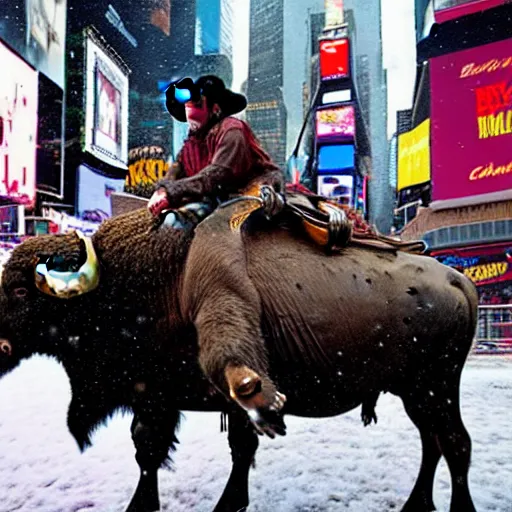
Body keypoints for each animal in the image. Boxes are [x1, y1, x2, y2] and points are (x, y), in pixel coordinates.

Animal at [0, 199, 480, 512]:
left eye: (22, 291)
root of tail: (458, 280)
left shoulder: (158, 397)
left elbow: (158, 449)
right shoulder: (164, 399)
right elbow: (181, 449)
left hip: (437, 386)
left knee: (455, 443)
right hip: (415, 392)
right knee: (433, 442)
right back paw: (416, 505)